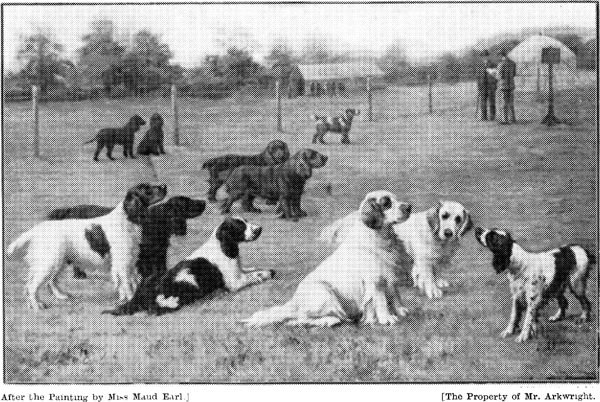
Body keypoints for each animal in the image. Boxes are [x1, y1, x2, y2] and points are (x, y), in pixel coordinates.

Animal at [6, 183, 166, 310]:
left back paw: (61, 296)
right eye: (146, 189)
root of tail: (38, 228)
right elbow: (128, 285)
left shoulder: (128, 263)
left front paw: (123, 300)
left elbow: (128, 284)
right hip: (50, 262)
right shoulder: (123, 264)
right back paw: (37, 305)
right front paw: (130, 301)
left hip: (59, 262)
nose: (164, 186)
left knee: (50, 281)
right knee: (32, 286)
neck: (127, 219)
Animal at [47, 196, 206, 278]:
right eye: (188, 201)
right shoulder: (143, 256)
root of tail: (69, 209)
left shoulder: (159, 254)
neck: (156, 220)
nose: (204, 202)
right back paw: (79, 275)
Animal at [241, 191, 410, 326]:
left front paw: (401, 310)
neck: (380, 237)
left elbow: (395, 294)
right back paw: (331, 320)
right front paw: (387, 318)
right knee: (300, 319)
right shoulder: (375, 279)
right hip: (324, 293)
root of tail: (294, 301)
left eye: (396, 199)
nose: (408, 207)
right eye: (386, 203)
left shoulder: (390, 275)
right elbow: (381, 301)